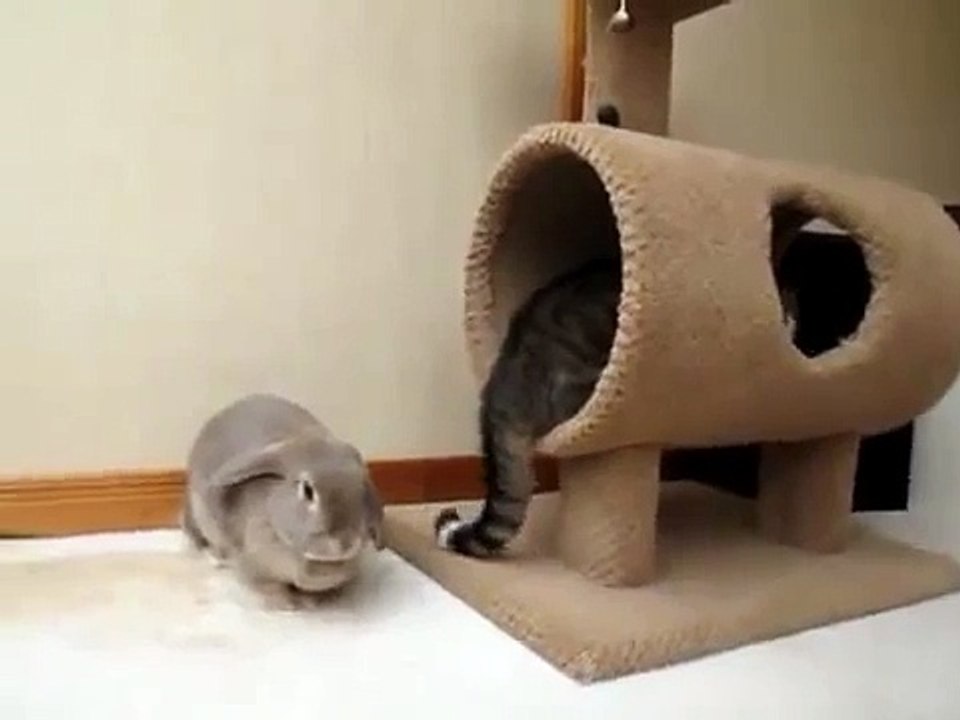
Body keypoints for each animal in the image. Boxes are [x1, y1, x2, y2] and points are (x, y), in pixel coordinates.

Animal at [182, 393, 384, 608]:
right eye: (307, 490)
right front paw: (287, 604)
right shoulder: (255, 565)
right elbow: (270, 586)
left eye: (360, 486)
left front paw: (313, 601)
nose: (344, 543)